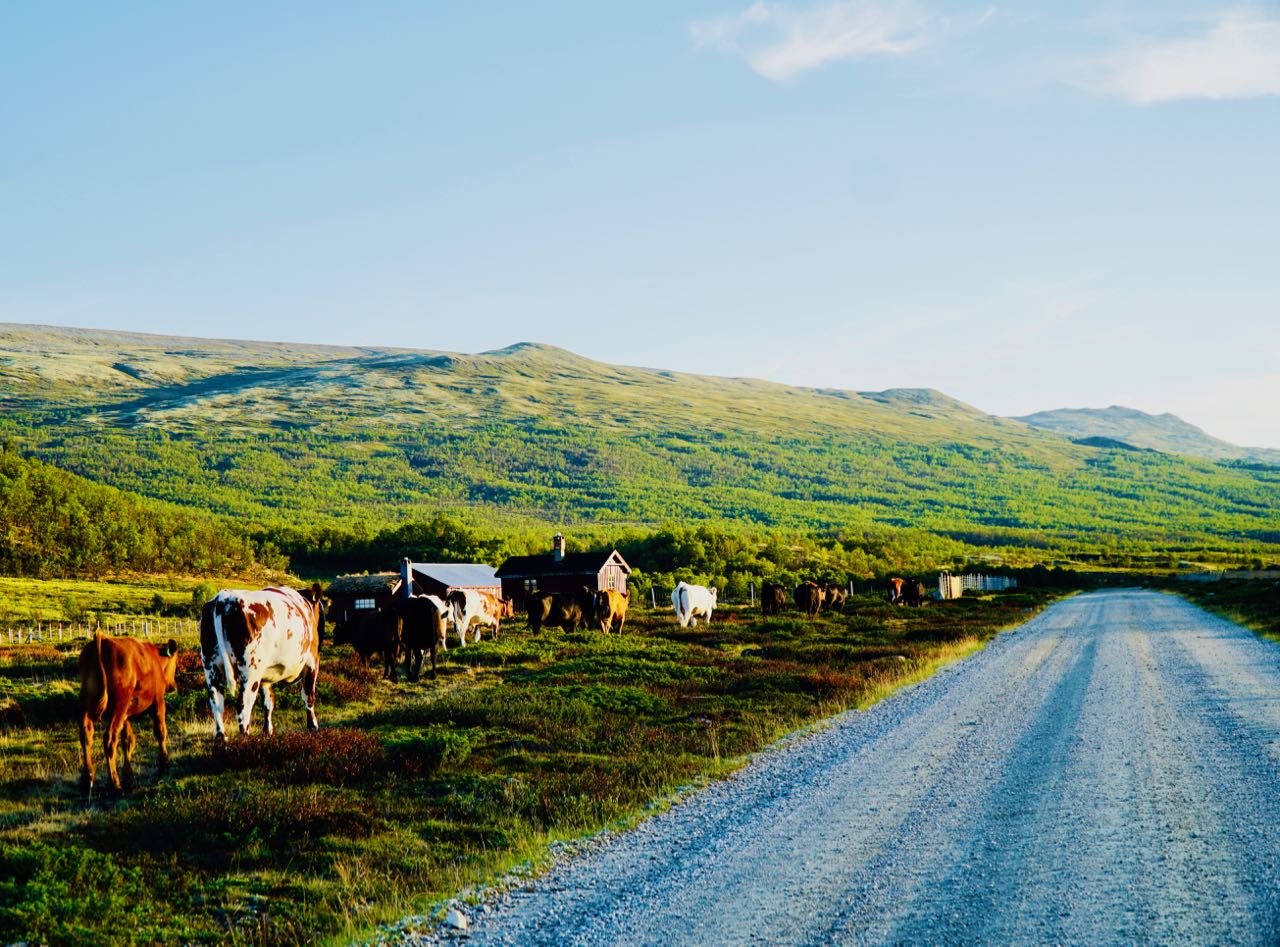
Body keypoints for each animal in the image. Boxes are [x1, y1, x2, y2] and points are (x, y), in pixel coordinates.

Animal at [79, 632, 180, 793]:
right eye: (176, 663)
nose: (173, 686)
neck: (155, 659)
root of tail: (102, 639)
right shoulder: (158, 702)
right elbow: (160, 732)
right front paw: (164, 766)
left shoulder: (126, 714)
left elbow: (128, 740)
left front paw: (128, 776)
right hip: (119, 704)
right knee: (110, 739)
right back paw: (114, 783)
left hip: (88, 704)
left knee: (86, 736)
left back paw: (87, 779)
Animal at [198, 583, 325, 747]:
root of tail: (223, 598)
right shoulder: (312, 663)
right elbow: (308, 696)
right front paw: (313, 727)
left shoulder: (267, 674)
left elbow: (268, 702)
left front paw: (267, 732)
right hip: (251, 671)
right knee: (243, 706)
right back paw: (246, 739)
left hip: (211, 667)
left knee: (217, 703)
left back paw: (222, 738)